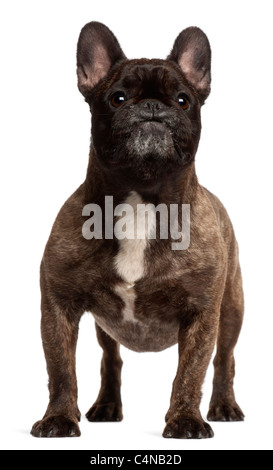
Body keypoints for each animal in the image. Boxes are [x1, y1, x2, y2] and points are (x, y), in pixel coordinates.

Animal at [30, 22, 243, 438]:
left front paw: (185, 419)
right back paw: (107, 406)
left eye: (183, 100)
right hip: (105, 327)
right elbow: (61, 369)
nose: (152, 107)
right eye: (117, 98)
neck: (141, 199)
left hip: (231, 310)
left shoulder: (201, 314)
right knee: (110, 359)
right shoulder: (59, 306)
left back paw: (224, 406)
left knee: (224, 360)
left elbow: (190, 372)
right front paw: (59, 418)